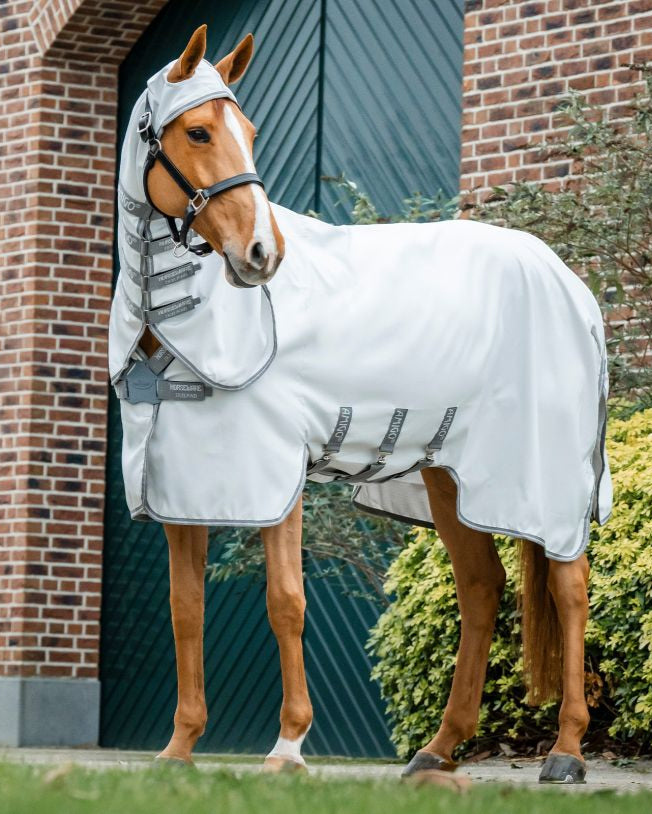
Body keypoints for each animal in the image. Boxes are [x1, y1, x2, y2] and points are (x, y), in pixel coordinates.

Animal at [109, 25, 611, 785]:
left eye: (249, 133)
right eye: (197, 131)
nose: (262, 253)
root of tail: (571, 286)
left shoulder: (274, 475)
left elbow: (286, 601)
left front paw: (287, 747)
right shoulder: (183, 486)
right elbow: (184, 610)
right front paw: (178, 750)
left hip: (545, 479)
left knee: (570, 585)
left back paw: (567, 751)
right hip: (445, 475)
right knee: (481, 585)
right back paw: (439, 747)